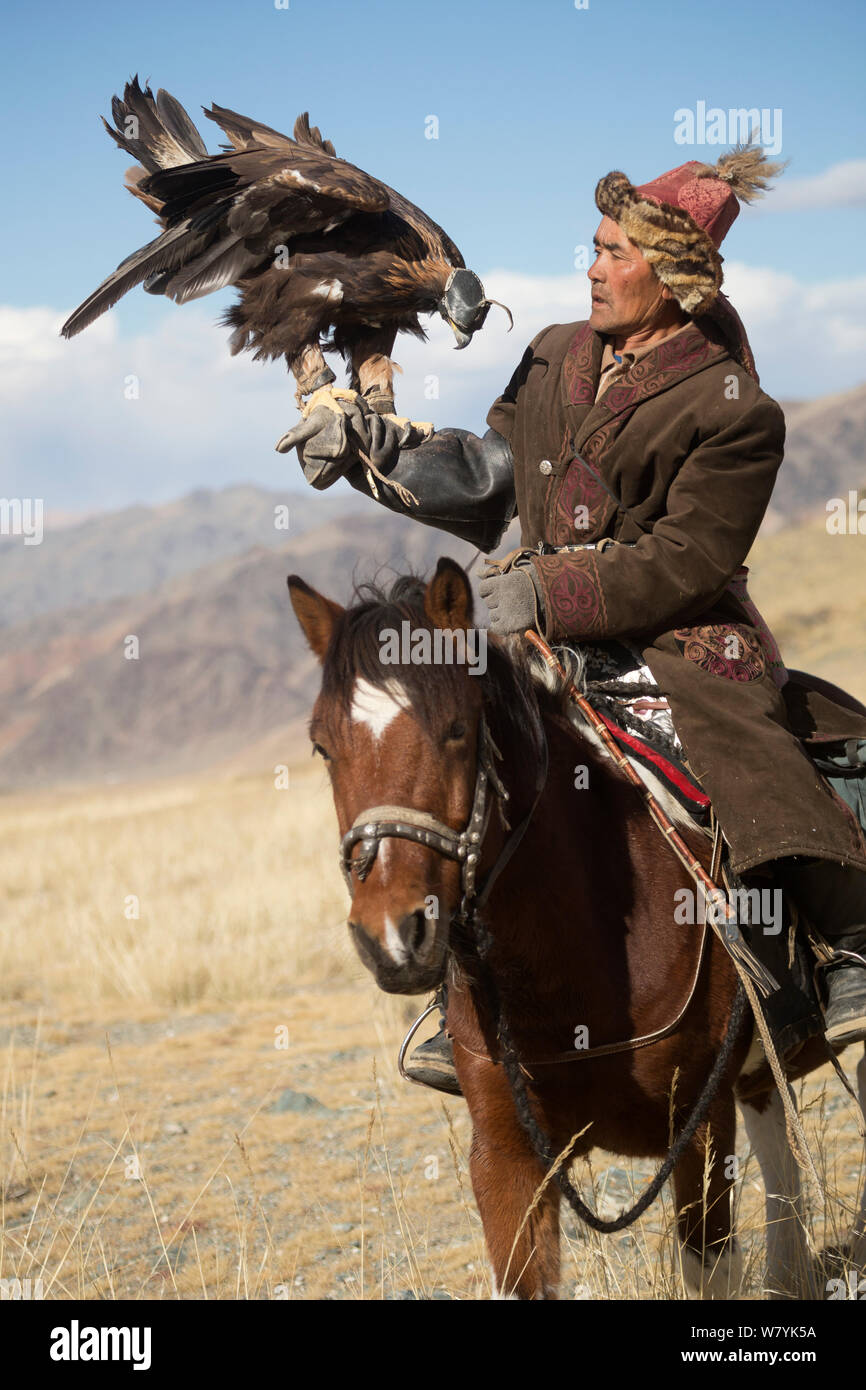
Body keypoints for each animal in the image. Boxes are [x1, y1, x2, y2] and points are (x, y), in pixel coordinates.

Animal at [288, 556, 866, 1300]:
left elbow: (706, 1266)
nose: (393, 936)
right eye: (323, 747)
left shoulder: (700, 1125)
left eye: (458, 730)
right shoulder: (505, 1155)